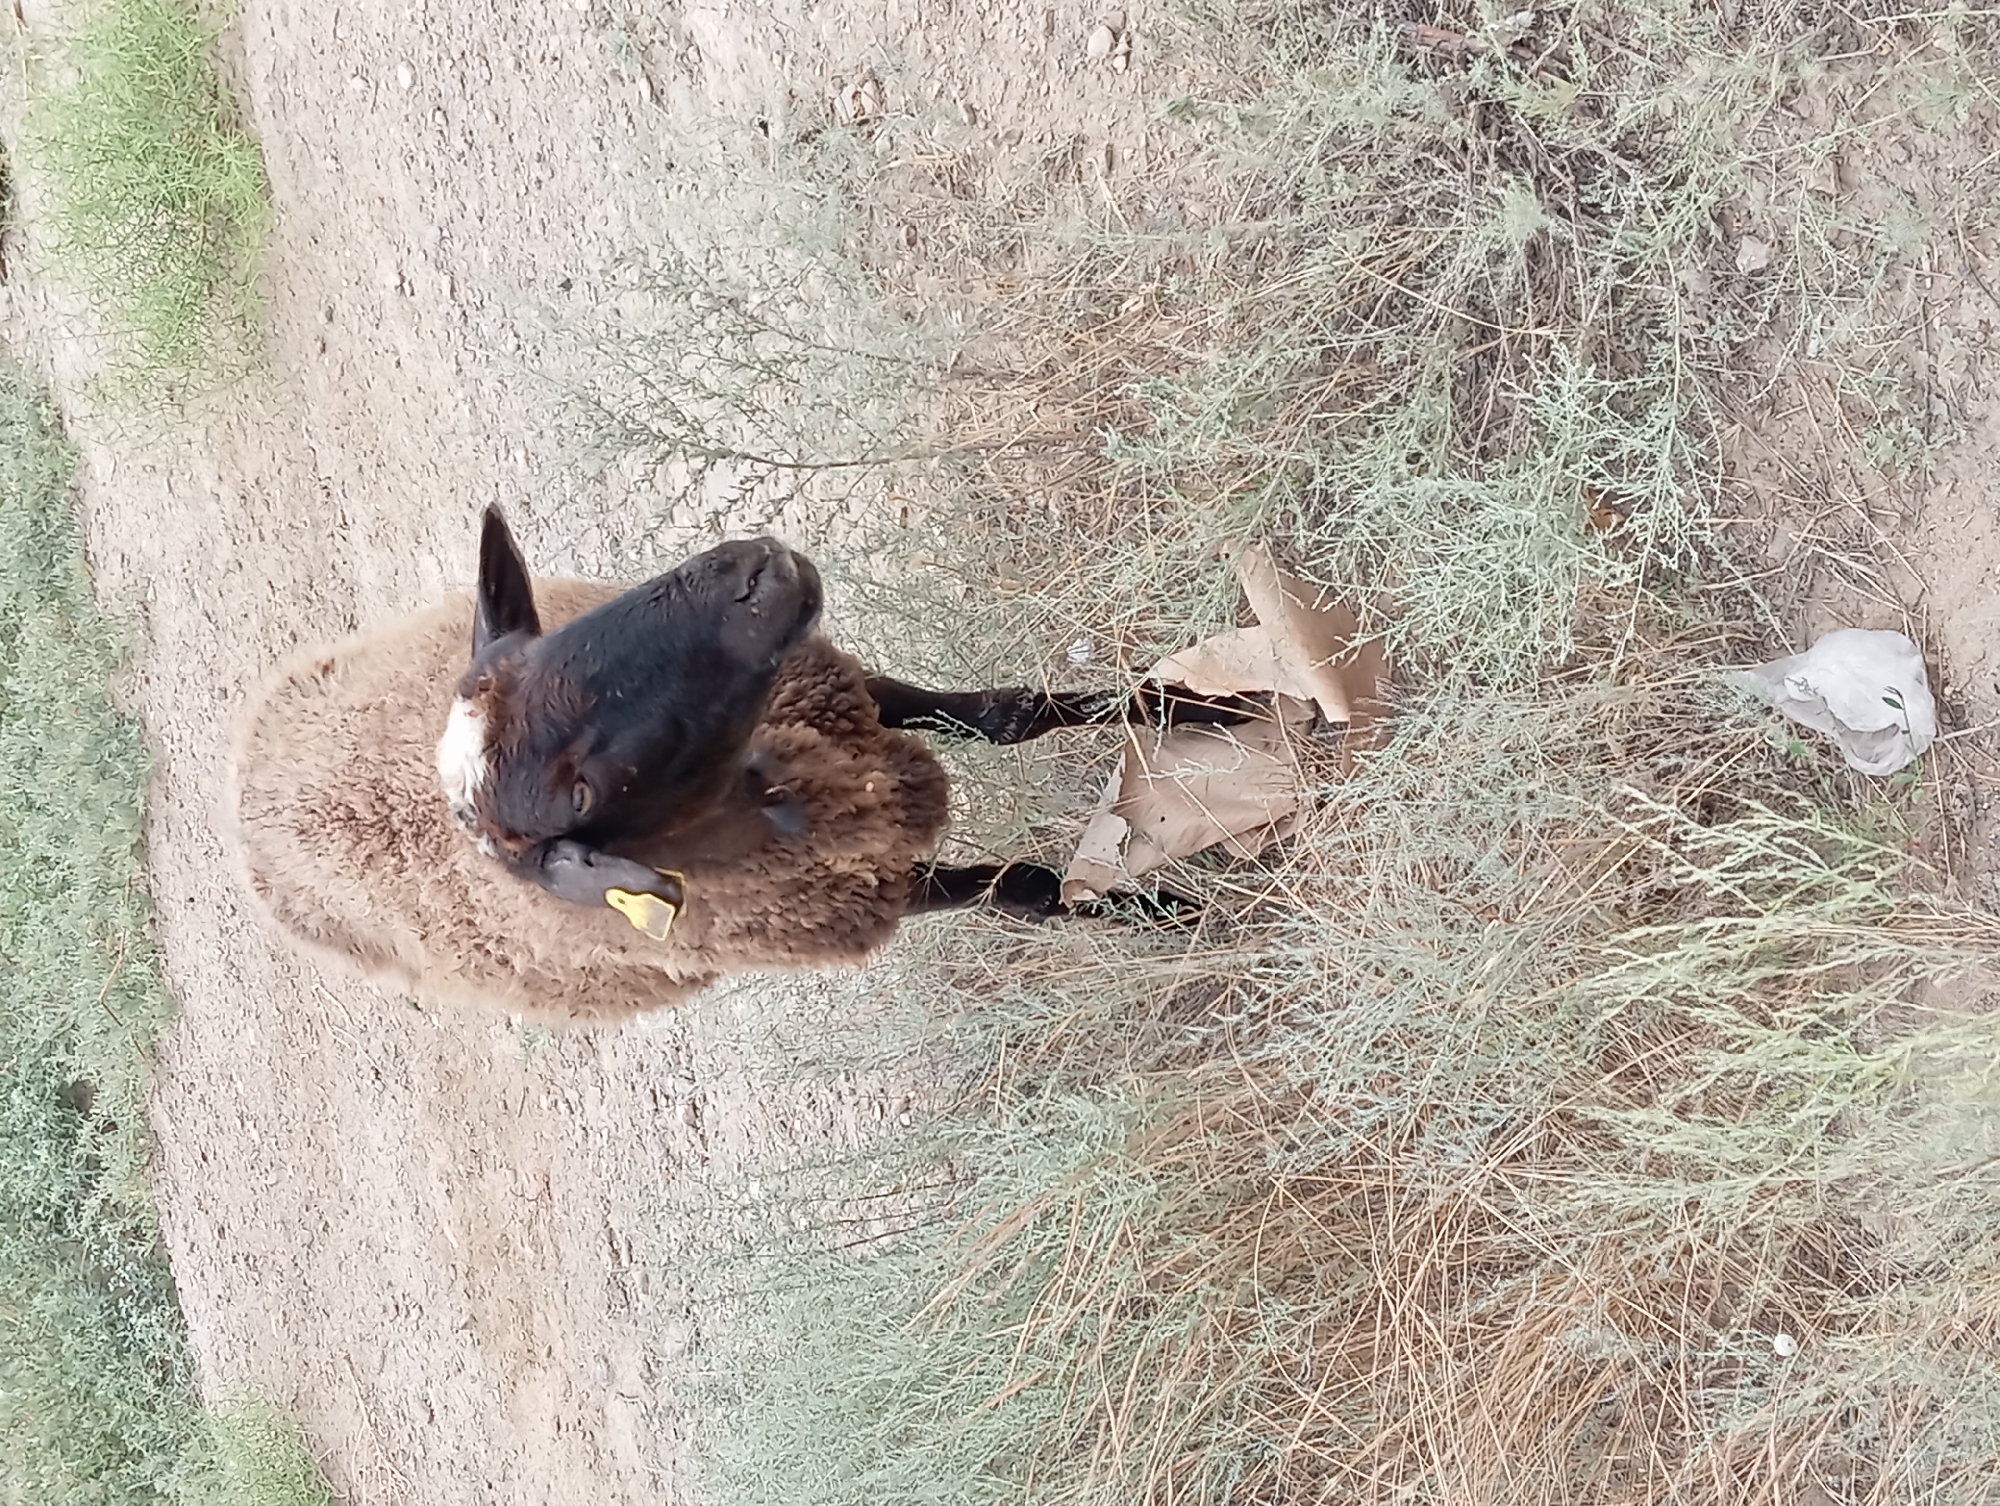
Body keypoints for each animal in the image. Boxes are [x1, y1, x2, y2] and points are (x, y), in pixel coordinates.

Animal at [228, 506, 1253, 1023]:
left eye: (548, 643)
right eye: (578, 790)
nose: (752, 571)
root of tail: (245, 793)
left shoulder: (847, 695)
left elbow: (1016, 718)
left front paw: (1218, 711)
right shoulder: (870, 889)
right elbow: (1025, 891)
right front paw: (1178, 917)